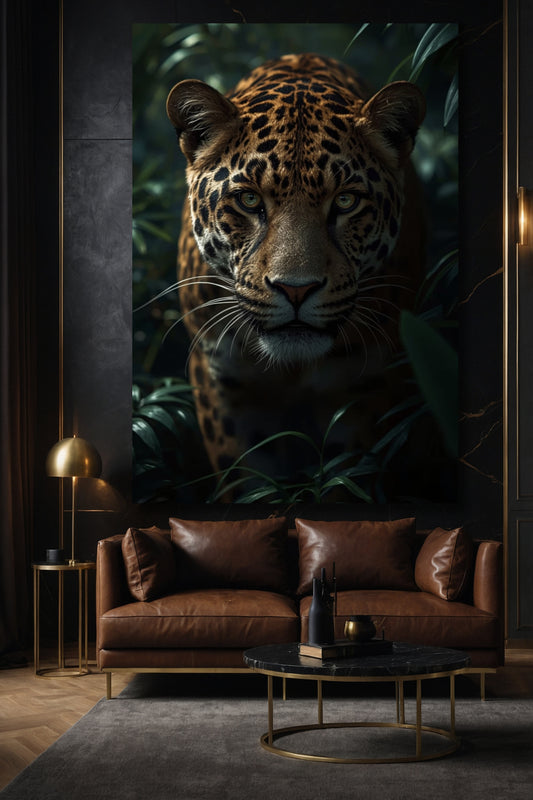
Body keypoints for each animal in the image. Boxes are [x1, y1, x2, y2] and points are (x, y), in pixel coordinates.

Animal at [165, 52, 427, 500]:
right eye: (248, 199)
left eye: (346, 201)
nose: (296, 289)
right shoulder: (222, 384)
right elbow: (247, 482)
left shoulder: (364, 387)